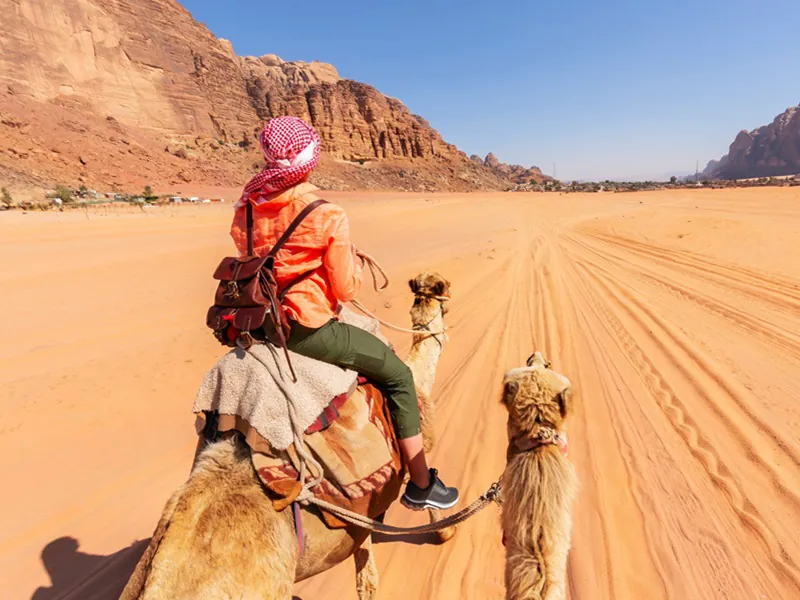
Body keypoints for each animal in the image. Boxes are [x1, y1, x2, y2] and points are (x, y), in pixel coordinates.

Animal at [120, 272, 454, 600]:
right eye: (443, 293)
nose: (446, 292)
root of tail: (159, 579)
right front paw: (443, 526)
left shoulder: (359, 521)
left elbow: (365, 574)